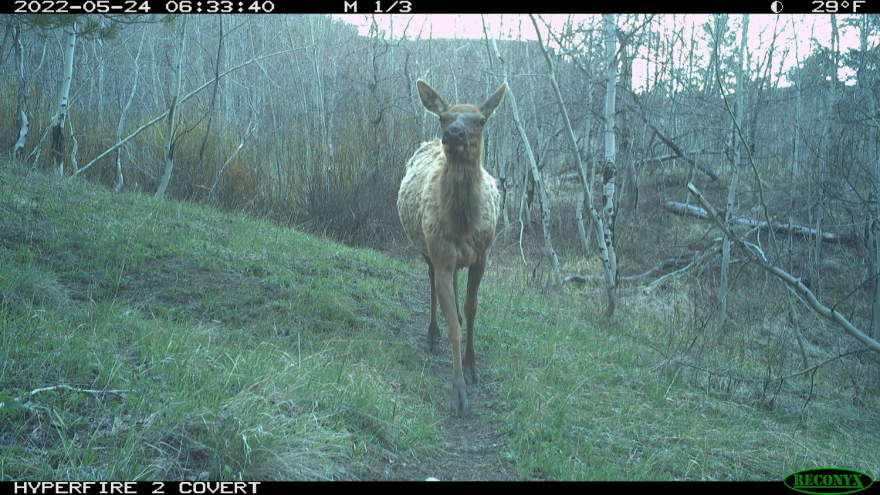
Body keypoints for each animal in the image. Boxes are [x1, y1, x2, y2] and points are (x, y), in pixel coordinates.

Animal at [397, 80, 507, 413]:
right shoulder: (441, 254)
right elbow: (453, 329)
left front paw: (471, 367)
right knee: (432, 282)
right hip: (426, 248)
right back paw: (432, 335)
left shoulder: (482, 255)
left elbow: (472, 310)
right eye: (443, 118)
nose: (455, 133)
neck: (462, 224)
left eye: (481, 120)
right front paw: (458, 392)